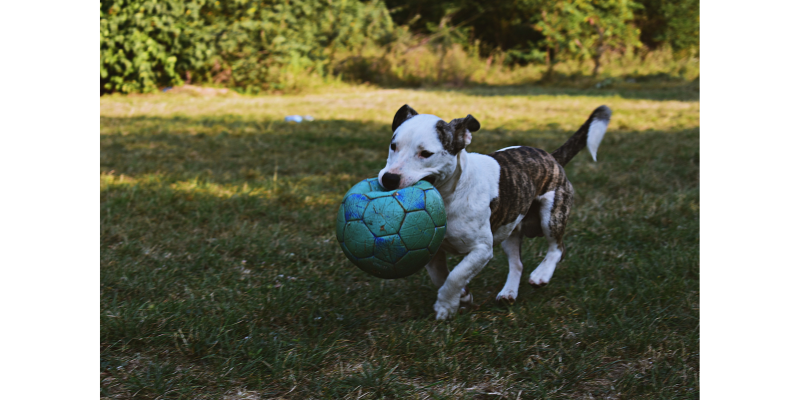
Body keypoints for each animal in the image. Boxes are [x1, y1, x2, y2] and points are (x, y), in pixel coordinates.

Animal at [378, 104, 608, 320]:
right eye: (393, 146)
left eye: (426, 154)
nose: (389, 178)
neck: (449, 195)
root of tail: (551, 158)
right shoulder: (429, 248)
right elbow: (440, 276)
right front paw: (463, 296)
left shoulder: (481, 249)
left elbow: (456, 275)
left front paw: (446, 306)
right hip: (510, 229)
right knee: (517, 263)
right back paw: (508, 293)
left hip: (552, 214)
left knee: (557, 247)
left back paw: (541, 274)